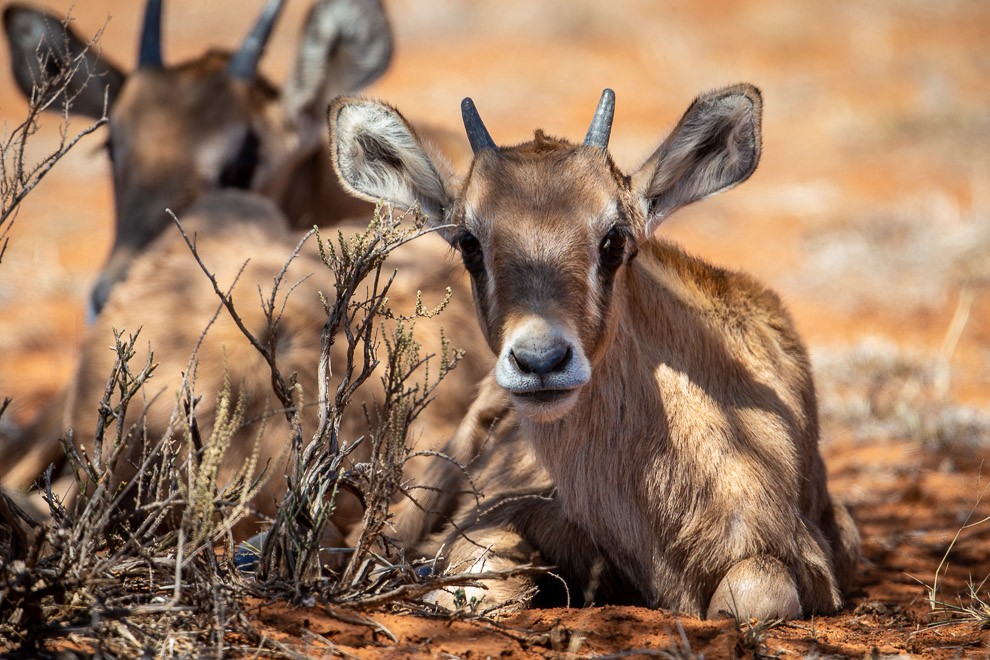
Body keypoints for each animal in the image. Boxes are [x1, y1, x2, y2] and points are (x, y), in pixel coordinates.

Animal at [332, 86, 860, 620]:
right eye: (469, 243)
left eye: (613, 238)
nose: (541, 362)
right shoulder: (490, 517)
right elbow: (479, 581)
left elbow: (755, 592)